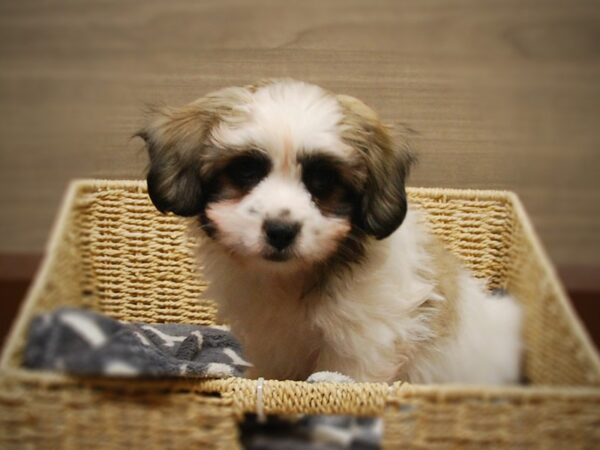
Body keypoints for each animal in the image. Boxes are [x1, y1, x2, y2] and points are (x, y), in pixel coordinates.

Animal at [138, 77, 524, 384]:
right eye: (246, 171)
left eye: (322, 180)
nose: (281, 231)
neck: (293, 279)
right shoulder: (271, 344)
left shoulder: (362, 344)